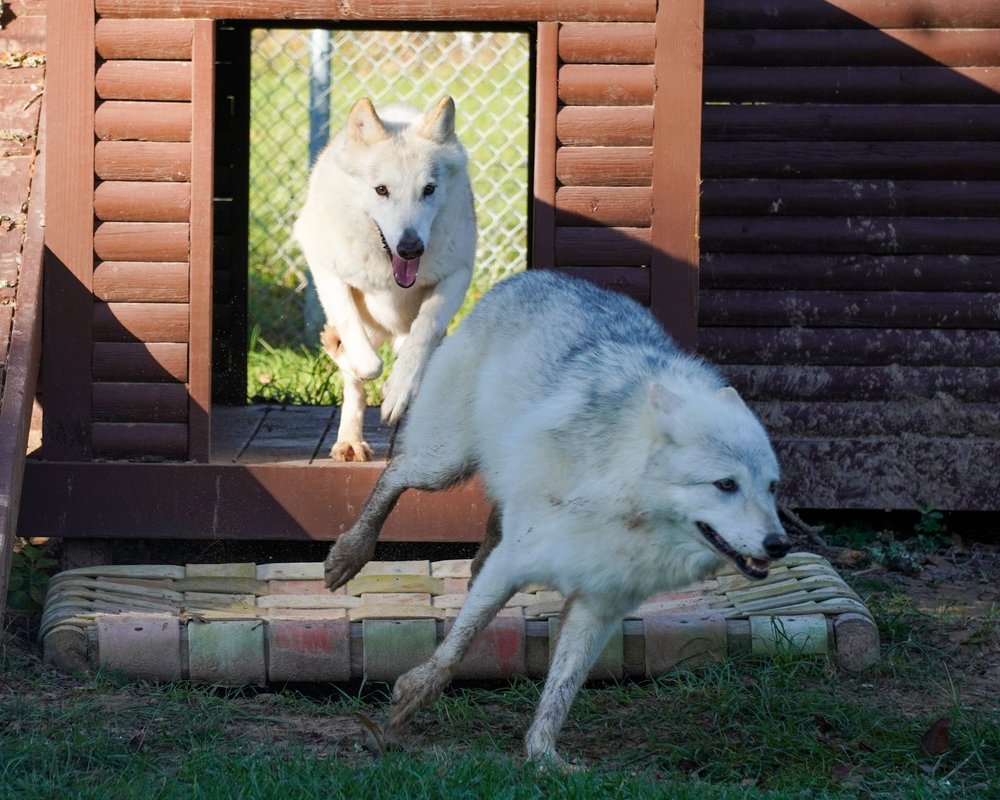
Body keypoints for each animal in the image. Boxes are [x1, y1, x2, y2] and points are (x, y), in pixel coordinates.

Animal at [293, 96, 476, 461]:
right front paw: (352, 358)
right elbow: (366, 363)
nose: (410, 248)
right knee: (354, 379)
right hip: (369, 322)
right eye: (382, 190)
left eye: (428, 190)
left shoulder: (457, 273)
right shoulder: (324, 266)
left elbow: (422, 335)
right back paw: (349, 442)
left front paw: (397, 392)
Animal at [323, 270, 791, 767]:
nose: (779, 544)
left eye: (772, 487)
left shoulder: (599, 606)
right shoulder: (512, 565)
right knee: (394, 473)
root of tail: (530, 276)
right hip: (445, 464)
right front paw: (404, 710)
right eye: (726, 485)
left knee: (487, 524)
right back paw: (349, 555)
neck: (625, 506)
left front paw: (545, 758)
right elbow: (458, 646)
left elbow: (562, 690)